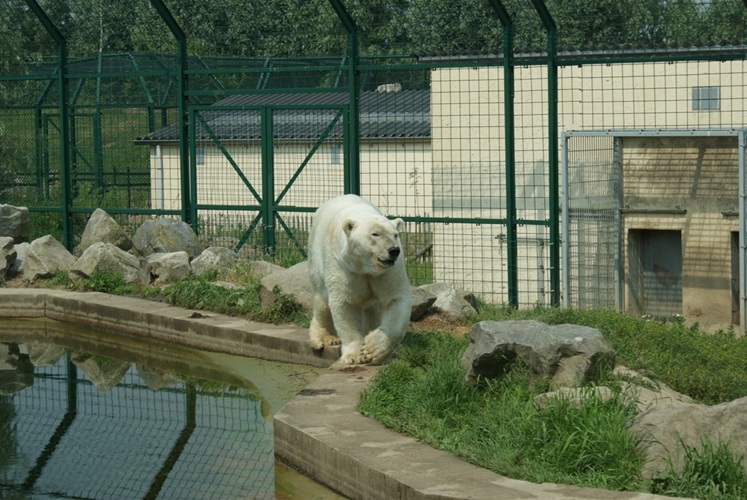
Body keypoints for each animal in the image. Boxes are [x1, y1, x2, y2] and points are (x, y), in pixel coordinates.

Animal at [306, 194, 412, 364]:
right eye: (375, 234)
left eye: (396, 234)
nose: (394, 250)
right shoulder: (344, 266)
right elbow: (345, 303)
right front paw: (355, 355)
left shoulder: (388, 271)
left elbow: (396, 299)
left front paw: (373, 347)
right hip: (315, 262)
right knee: (321, 301)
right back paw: (325, 338)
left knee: (374, 308)